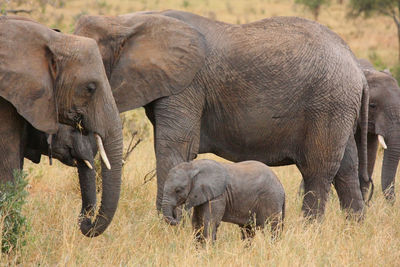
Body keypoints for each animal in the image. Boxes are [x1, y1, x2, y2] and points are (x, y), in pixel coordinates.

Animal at [73, 11, 368, 220]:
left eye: (90, 85)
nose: (87, 222)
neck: (126, 22)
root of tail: (356, 65)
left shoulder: (187, 85)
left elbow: (174, 148)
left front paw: (168, 227)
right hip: (340, 107)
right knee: (346, 169)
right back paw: (353, 228)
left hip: (328, 103)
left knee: (317, 170)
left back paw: (308, 231)